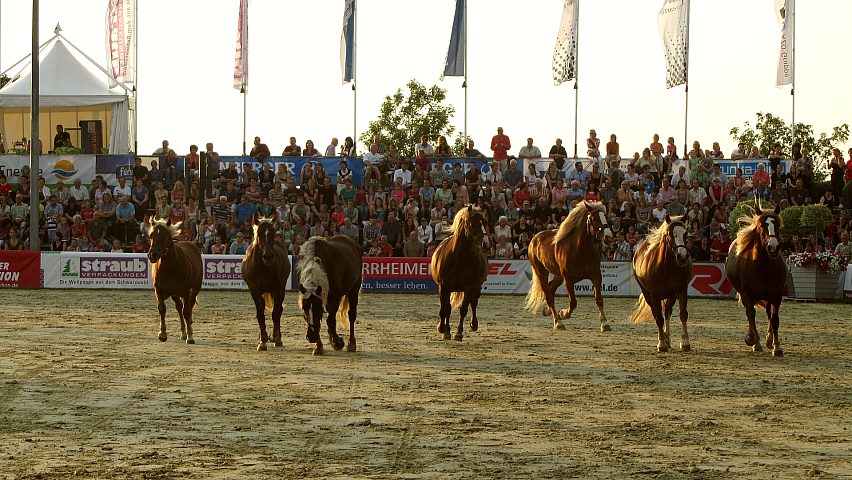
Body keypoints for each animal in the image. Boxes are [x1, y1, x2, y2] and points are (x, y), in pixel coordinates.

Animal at [241, 216, 292, 350]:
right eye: (259, 234)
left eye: (273, 234)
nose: (268, 256)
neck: (263, 268)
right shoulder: (255, 291)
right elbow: (260, 314)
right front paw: (263, 341)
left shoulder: (277, 290)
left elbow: (276, 313)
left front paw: (276, 338)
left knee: (278, 310)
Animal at [430, 205, 490, 342]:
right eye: (472, 223)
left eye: (484, 223)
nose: (485, 243)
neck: (458, 257)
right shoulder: (444, 287)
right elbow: (445, 309)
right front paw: (444, 330)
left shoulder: (469, 287)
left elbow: (463, 309)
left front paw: (458, 333)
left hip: (476, 287)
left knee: (474, 303)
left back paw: (474, 324)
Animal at [524, 201, 612, 332]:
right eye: (594, 218)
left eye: (605, 216)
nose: (608, 237)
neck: (580, 250)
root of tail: (534, 239)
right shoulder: (568, 280)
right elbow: (573, 302)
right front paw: (563, 314)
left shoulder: (596, 276)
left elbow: (599, 299)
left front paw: (605, 324)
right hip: (541, 272)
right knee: (549, 295)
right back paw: (558, 322)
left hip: (558, 276)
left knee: (551, 289)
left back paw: (547, 311)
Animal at [628, 216, 696, 350]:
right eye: (670, 234)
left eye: (685, 234)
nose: (682, 256)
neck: (666, 267)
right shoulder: (654, 294)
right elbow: (659, 318)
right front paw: (661, 343)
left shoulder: (681, 290)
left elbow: (683, 314)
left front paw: (685, 342)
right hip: (647, 293)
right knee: (657, 314)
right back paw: (664, 338)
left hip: (671, 295)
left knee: (667, 312)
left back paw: (667, 337)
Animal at [724, 202, 784, 356]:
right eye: (762, 225)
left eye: (777, 225)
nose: (773, 247)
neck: (763, 266)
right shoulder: (747, 294)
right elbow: (751, 314)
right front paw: (752, 340)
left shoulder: (776, 295)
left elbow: (774, 319)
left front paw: (776, 346)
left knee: (769, 314)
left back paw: (769, 340)